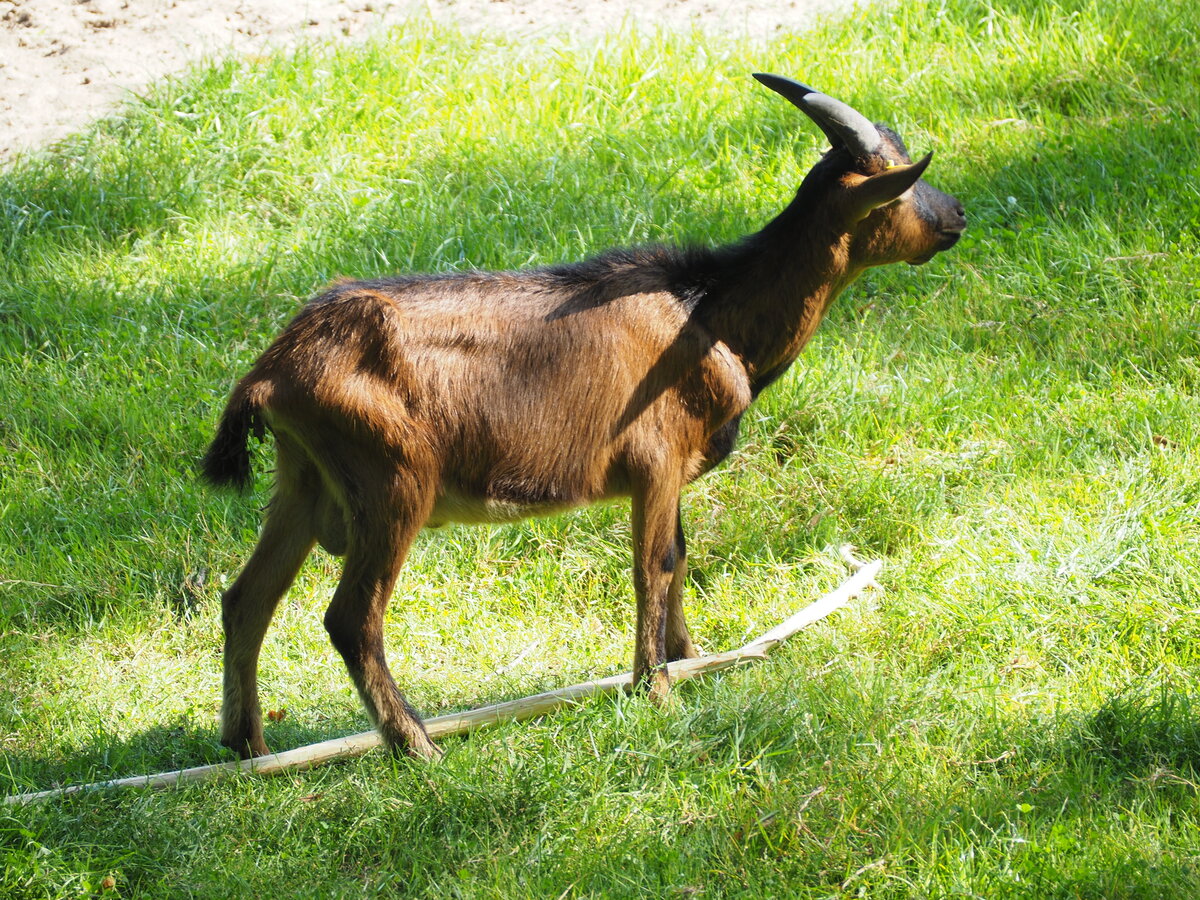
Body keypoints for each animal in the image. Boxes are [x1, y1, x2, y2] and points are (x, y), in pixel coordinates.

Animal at [199, 75, 964, 763]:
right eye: (900, 181)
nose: (957, 214)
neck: (708, 312)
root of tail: (274, 368)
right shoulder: (655, 461)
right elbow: (655, 565)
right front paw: (658, 692)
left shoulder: (673, 472)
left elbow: (679, 558)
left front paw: (693, 661)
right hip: (391, 483)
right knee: (351, 619)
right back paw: (417, 747)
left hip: (304, 482)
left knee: (246, 600)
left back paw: (246, 747)